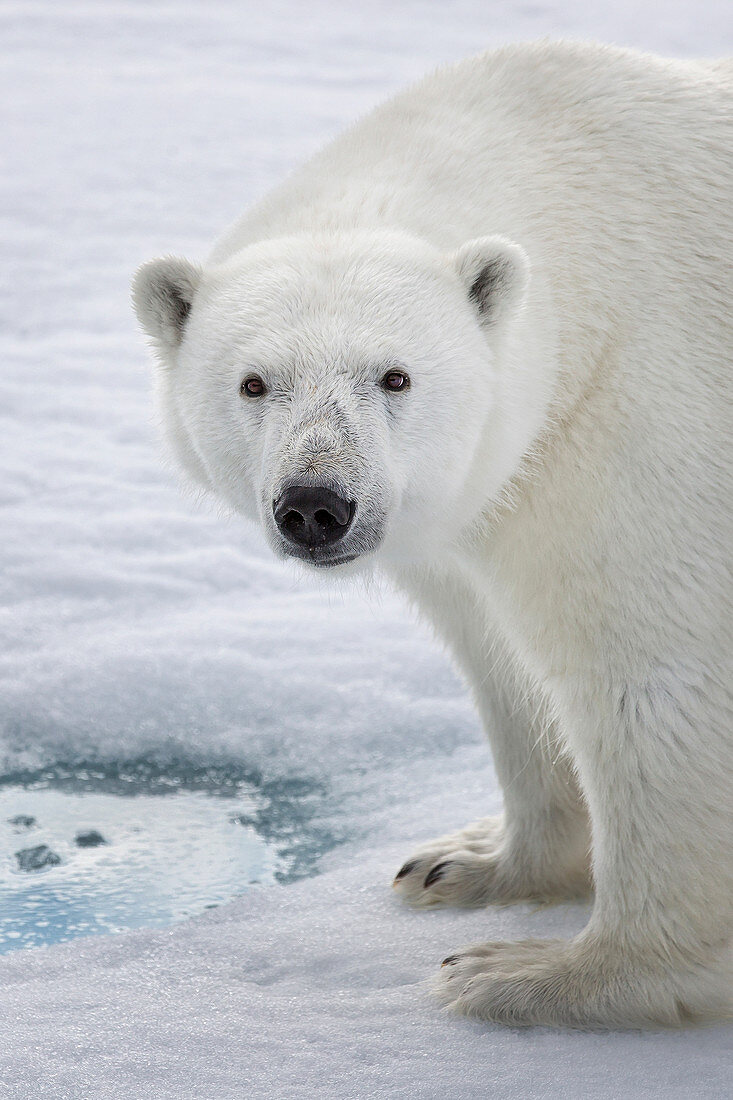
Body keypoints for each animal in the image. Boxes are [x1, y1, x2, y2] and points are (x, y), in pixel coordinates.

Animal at [132, 38, 730, 1025]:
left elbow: (657, 674)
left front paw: (538, 975)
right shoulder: (478, 506)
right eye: (254, 383)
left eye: (395, 376)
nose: (315, 504)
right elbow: (501, 662)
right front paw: (467, 863)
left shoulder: (641, 425)